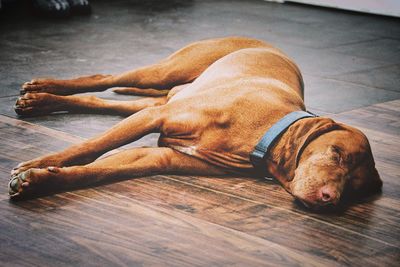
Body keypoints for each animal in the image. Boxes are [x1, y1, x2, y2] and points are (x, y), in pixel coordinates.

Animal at [10, 36, 382, 210]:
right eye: (335, 154)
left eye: (353, 188)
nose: (329, 198)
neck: (262, 134)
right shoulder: (157, 118)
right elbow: (91, 147)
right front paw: (38, 164)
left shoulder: (158, 156)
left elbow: (99, 170)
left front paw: (40, 182)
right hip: (165, 73)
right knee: (105, 78)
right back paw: (42, 89)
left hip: (160, 98)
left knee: (105, 102)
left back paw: (41, 101)